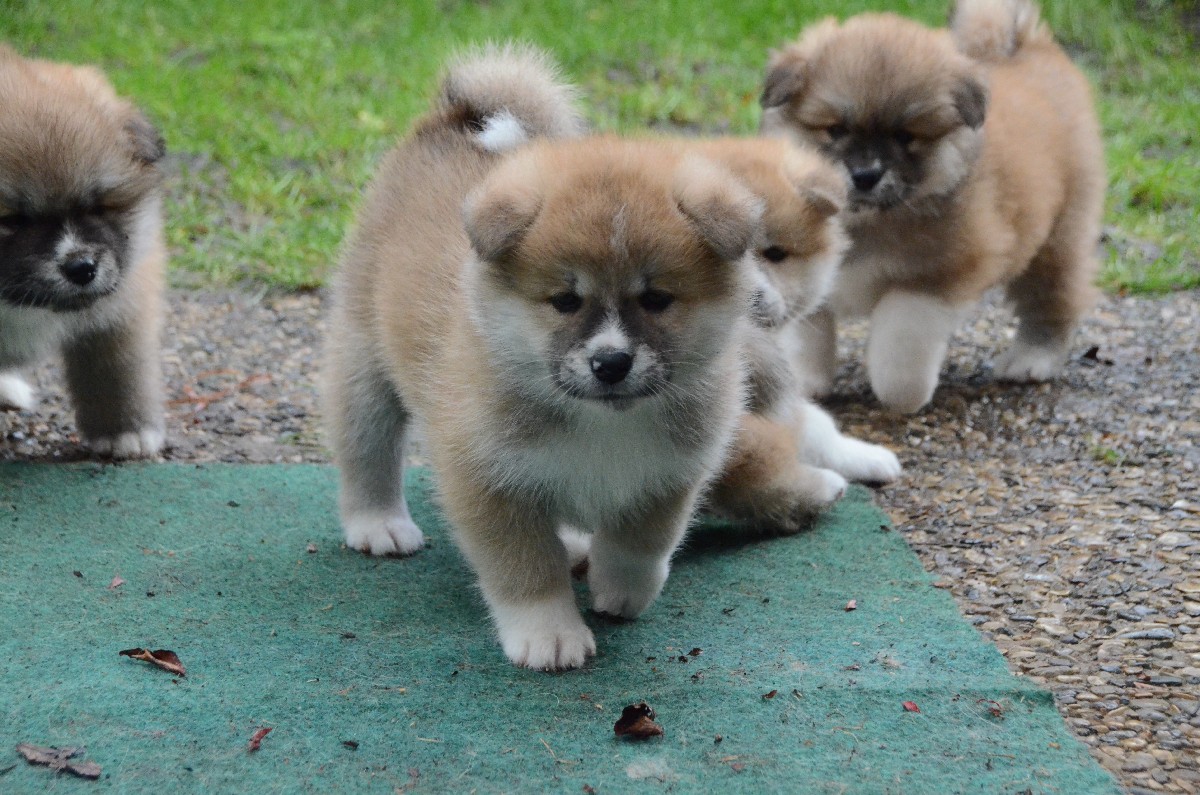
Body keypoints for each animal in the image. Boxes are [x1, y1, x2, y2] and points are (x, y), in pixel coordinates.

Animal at [0, 45, 167, 457]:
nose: (82, 267)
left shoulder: (123, 302)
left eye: (97, 207)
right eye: (11, 219)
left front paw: (126, 433)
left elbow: (118, 365)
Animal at [323, 46, 763, 670]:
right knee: (367, 449)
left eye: (656, 298)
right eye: (565, 300)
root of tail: (454, 119)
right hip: (366, 365)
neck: (602, 422)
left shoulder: (672, 469)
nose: (611, 363)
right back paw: (377, 522)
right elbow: (525, 567)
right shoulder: (487, 478)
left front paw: (622, 588)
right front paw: (547, 633)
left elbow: (643, 539)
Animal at [759, 0, 1105, 412]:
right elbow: (805, 341)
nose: (865, 175)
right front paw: (801, 386)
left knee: (1053, 299)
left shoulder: (932, 277)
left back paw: (1032, 359)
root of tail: (1026, 46)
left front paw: (903, 396)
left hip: (1056, 237)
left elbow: (900, 345)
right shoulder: (804, 273)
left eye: (905, 136)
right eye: (836, 129)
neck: (868, 221)